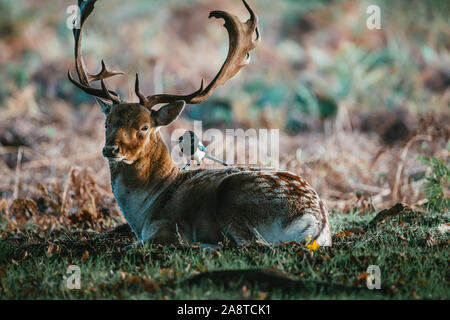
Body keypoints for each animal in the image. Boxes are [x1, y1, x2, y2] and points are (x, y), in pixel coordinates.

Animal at [68, 0, 332, 249]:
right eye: (107, 122)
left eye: (144, 127)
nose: (111, 149)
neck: (144, 211)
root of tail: (315, 220)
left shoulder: (163, 226)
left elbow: (136, 243)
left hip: (233, 196)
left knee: (252, 243)